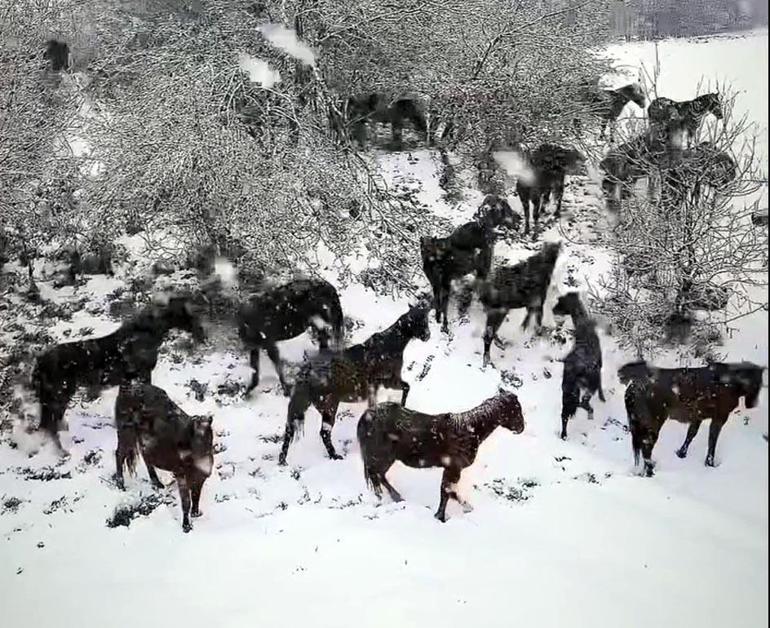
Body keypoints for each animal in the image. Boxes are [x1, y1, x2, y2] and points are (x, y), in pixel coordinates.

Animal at [112, 380, 213, 532]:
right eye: (185, 431)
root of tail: (124, 389)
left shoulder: (201, 477)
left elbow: (196, 497)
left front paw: (196, 514)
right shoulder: (180, 474)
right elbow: (186, 502)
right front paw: (186, 526)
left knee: (145, 456)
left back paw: (157, 483)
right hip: (126, 432)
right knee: (119, 454)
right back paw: (120, 484)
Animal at [356, 392, 524, 520]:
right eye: (515, 409)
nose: (521, 428)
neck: (470, 430)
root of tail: (367, 416)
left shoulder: (451, 469)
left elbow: (448, 491)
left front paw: (456, 510)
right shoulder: (453, 468)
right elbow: (447, 492)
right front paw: (443, 516)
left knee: (379, 476)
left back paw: (395, 497)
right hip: (382, 457)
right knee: (376, 475)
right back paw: (385, 498)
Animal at [424, 194, 520, 334]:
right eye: (507, 208)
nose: (518, 219)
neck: (484, 228)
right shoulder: (482, 271)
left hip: (436, 285)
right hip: (445, 284)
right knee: (444, 308)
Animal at [612, 358, 760, 476]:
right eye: (756, 383)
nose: (753, 404)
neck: (731, 383)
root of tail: (631, 389)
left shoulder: (698, 417)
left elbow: (691, 435)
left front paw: (681, 453)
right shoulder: (720, 418)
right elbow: (712, 441)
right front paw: (709, 463)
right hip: (653, 424)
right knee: (646, 448)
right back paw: (650, 472)